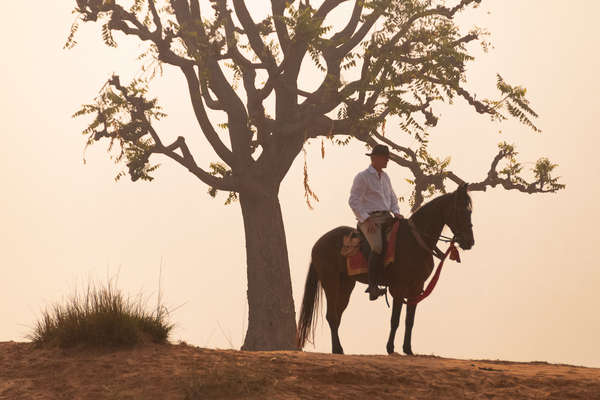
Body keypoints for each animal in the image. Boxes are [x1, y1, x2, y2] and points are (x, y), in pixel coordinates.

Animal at [296, 183, 474, 354]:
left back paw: (338, 349)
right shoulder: (399, 287)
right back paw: (337, 349)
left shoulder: (416, 287)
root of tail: (318, 243)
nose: (470, 241)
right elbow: (395, 320)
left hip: (346, 284)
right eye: (461, 211)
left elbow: (409, 320)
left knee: (337, 315)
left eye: (470, 211)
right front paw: (390, 348)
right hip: (330, 281)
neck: (415, 241)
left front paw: (408, 349)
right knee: (332, 316)